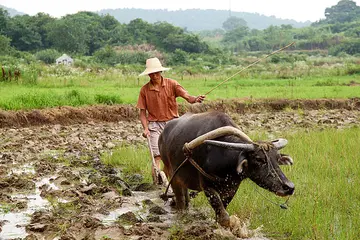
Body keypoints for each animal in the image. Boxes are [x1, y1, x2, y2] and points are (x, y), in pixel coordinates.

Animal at [160, 110, 296, 227]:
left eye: (277, 159)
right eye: (259, 159)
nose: (289, 187)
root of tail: (162, 135)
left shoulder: (232, 187)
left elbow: (222, 211)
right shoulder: (207, 186)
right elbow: (224, 217)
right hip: (172, 174)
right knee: (180, 199)